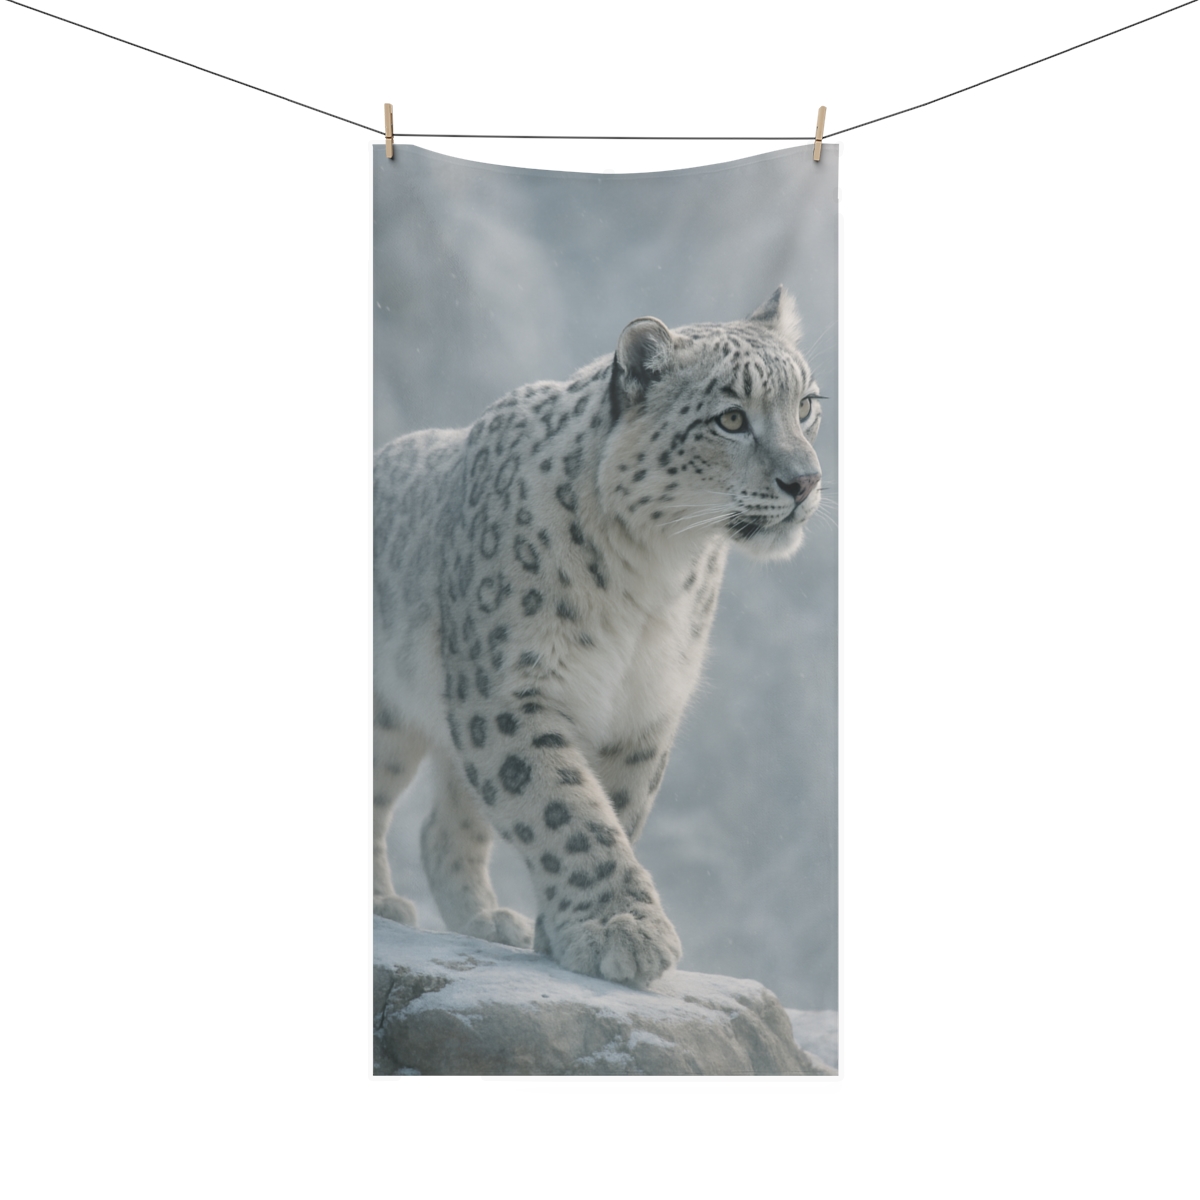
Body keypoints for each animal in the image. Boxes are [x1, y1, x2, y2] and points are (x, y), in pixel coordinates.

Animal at [373, 286, 824, 986]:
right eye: (730, 418)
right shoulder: (508, 691)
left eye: (806, 405)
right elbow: (564, 808)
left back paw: (487, 920)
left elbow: (613, 807)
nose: (805, 482)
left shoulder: (645, 708)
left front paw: (571, 931)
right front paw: (622, 930)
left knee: (446, 825)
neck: (652, 575)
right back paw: (383, 902)